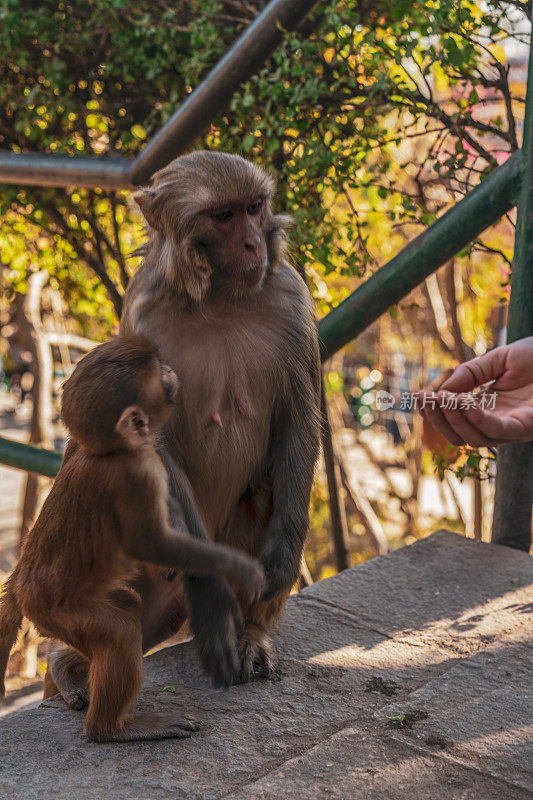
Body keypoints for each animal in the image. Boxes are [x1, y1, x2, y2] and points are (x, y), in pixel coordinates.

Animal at [0, 334, 264, 740]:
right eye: (158, 372)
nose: (170, 369)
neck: (114, 451)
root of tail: (22, 587)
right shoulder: (140, 473)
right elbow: (151, 543)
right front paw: (237, 568)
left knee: (131, 609)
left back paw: (65, 667)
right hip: (56, 611)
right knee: (122, 633)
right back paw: (111, 729)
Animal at [48, 152, 320, 692]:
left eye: (255, 207)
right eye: (223, 216)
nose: (254, 243)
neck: (217, 296)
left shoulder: (290, 297)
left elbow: (298, 416)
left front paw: (285, 547)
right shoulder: (143, 319)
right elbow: (148, 441)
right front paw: (212, 594)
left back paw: (250, 634)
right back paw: (71, 664)